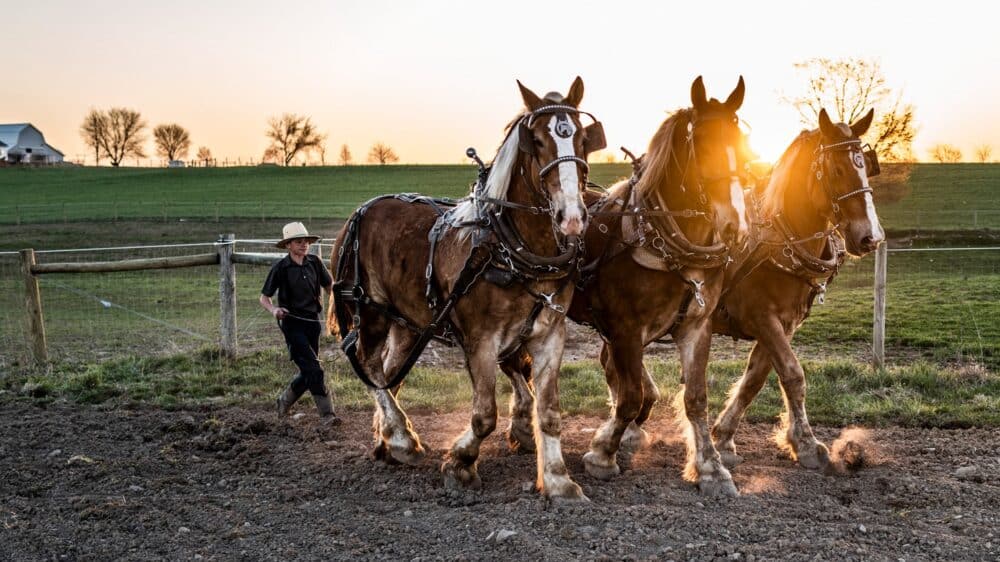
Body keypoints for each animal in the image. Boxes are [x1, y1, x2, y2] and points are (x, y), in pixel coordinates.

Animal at [332, 75, 604, 498]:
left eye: (581, 139)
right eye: (536, 140)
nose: (572, 217)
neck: (509, 245)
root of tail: (360, 212)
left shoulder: (549, 335)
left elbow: (549, 412)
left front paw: (559, 480)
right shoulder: (481, 339)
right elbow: (484, 414)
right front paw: (460, 462)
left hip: (410, 324)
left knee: (391, 373)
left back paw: (386, 438)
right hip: (371, 311)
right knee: (371, 368)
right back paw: (401, 440)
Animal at [508, 75, 752, 494]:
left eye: (740, 142)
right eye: (703, 145)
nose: (736, 225)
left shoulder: (696, 326)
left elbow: (696, 398)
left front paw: (710, 467)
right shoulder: (625, 327)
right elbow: (630, 397)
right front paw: (602, 454)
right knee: (514, 365)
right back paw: (522, 424)